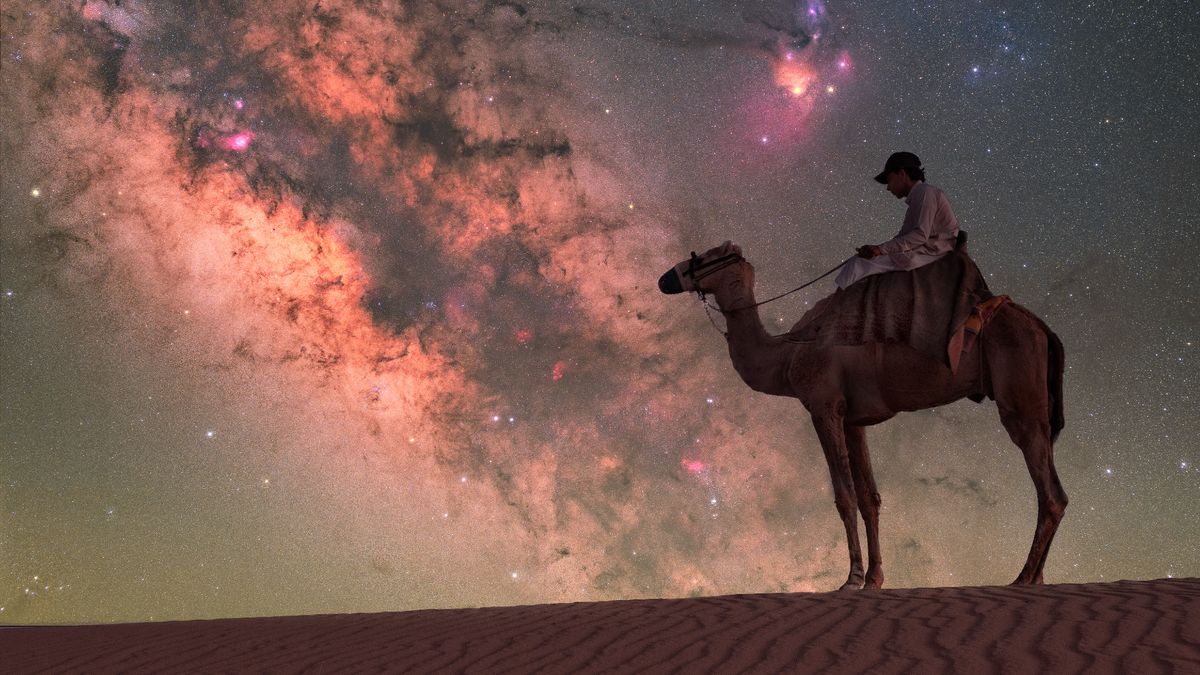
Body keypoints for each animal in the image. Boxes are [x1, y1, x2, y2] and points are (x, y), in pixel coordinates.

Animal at [657, 241, 1070, 588]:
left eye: (702, 257)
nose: (665, 279)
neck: (787, 354)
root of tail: (1043, 328)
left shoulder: (823, 408)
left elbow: (844, 496)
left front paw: (851, 578)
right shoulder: (854, 420)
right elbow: (870, 497)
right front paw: (874, 578)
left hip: (1019, 398)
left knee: (1049, 492)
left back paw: (1022, 578)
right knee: (1056, 489)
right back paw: (1037, 578)